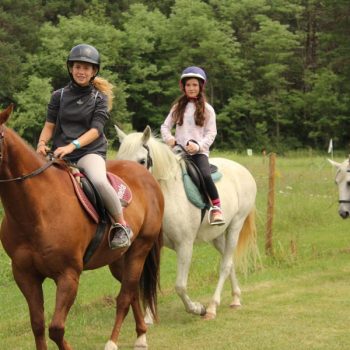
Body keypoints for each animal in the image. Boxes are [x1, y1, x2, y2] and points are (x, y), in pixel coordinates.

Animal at [0, 104, 164, 350]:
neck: (36, 210)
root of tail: (146, 176)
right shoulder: (25, 275)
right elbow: (38, 324)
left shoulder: (68, 275)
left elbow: (56, 328)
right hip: (118, 259)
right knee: (132, 290)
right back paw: (141, 336)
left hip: (139, 250)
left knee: (125, 296)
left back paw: (113, 342)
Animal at [116, 125, 258, 320]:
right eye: (119, 160)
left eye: (142, 161)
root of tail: (244, 171)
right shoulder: (152, 245)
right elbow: (151, 280)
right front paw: (149, 317)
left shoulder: (185, 245)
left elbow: (180, 286)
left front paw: (197, 308)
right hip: (217, 236)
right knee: (228, 261)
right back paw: (236, 298)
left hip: (235, 226)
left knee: (225, 264)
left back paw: (212, 307)